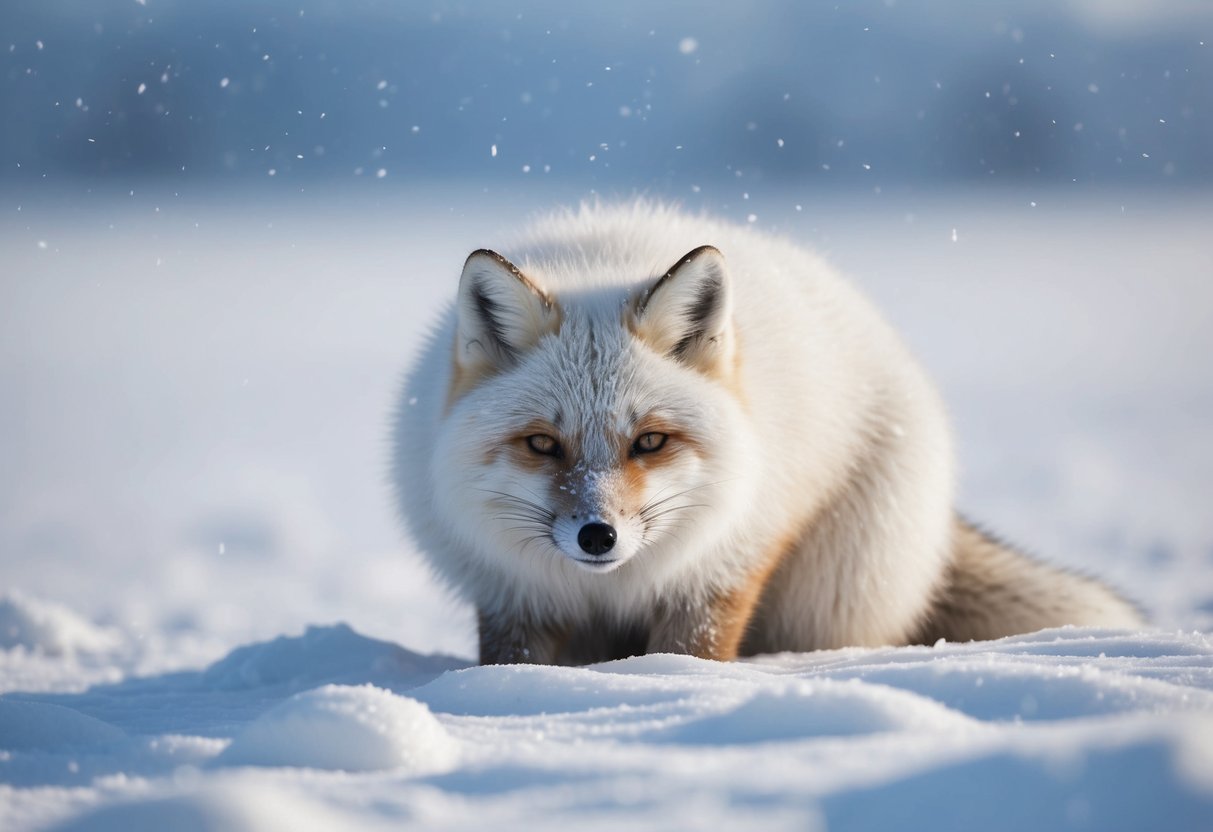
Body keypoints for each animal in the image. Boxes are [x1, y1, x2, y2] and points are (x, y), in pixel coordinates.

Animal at [391, 202, 1144, 665]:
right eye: (543, 444)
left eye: (650, 442)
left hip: (829, 593)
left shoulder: (724, 565)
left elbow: (688, 656)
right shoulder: (511, 596)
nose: (598, 536)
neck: (610, 587)